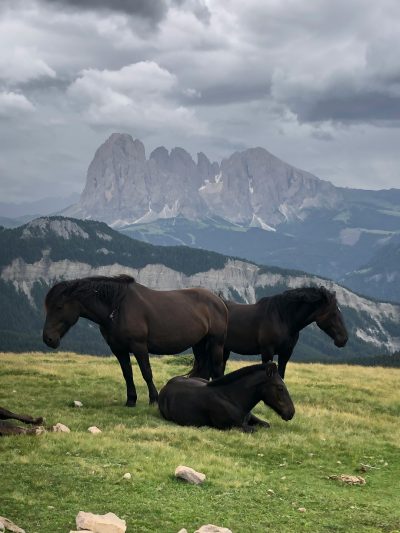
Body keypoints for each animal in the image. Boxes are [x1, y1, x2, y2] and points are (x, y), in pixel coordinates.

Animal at [43, 276, 228, 406]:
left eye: (59, 307)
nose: (48, 339)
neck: (117, 308)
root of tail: (219, 301)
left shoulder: (139, 346)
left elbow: (146, 372)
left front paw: (153, 399)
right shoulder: (118, 349)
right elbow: (127, 373)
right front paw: (131, 400)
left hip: (216, 343)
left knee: (217, 368)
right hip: (199, 344)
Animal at [159, 360, 294, 430]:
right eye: (280, 388)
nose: (291, 412)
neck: (232, 398)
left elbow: (266, 424)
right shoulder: (234, 426)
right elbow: (253, 429)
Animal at [220, 286, 348, 378]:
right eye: (333, 313)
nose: (344, 339)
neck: (282, 318)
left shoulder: (286, 353)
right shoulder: (267, 352)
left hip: (225, 349)